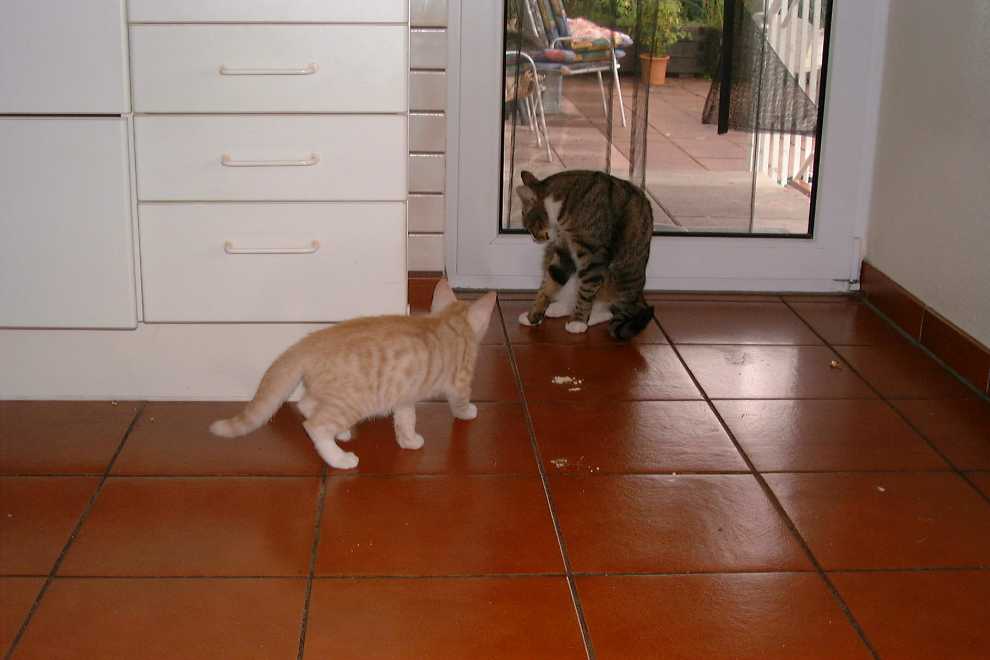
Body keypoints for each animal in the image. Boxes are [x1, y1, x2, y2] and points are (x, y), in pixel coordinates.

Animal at [209, 280, 497, 470]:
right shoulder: (460, 382)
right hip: (352, 402)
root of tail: (309, 341)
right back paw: (339, 458)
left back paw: (342, 433)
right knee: (314, 426)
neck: (450, 322)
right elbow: (459, 403)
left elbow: (406, 419)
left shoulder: (403, 395)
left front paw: (409, 440)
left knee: (305, 404)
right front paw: (468, 412)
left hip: (331, 394)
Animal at [514, 169, 654, 339]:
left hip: (621, 277)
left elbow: (587, 290)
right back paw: (558, 308)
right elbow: (550, 282)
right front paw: (532, 316)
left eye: (529, 226)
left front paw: (578, 321)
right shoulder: (563, 251)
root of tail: (639, 297)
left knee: (611, 310)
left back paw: (589, 317)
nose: (534, 238)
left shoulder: (594, 255)